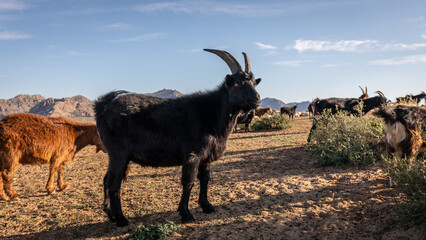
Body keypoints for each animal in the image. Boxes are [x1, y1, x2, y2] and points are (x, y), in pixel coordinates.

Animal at [95, 49, 262, 227]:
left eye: (254, 83)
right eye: (237, 83)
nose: (257, 99)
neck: (211, 113)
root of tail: (102, 105)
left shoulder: (206, 157)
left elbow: (205, 179)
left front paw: (207, 206)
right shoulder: (192, 155)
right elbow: (189, 182)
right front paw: (186, 214)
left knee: (107, 179)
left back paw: (110, 214)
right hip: (119, 153)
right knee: (114, 183)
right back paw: (120, 219)